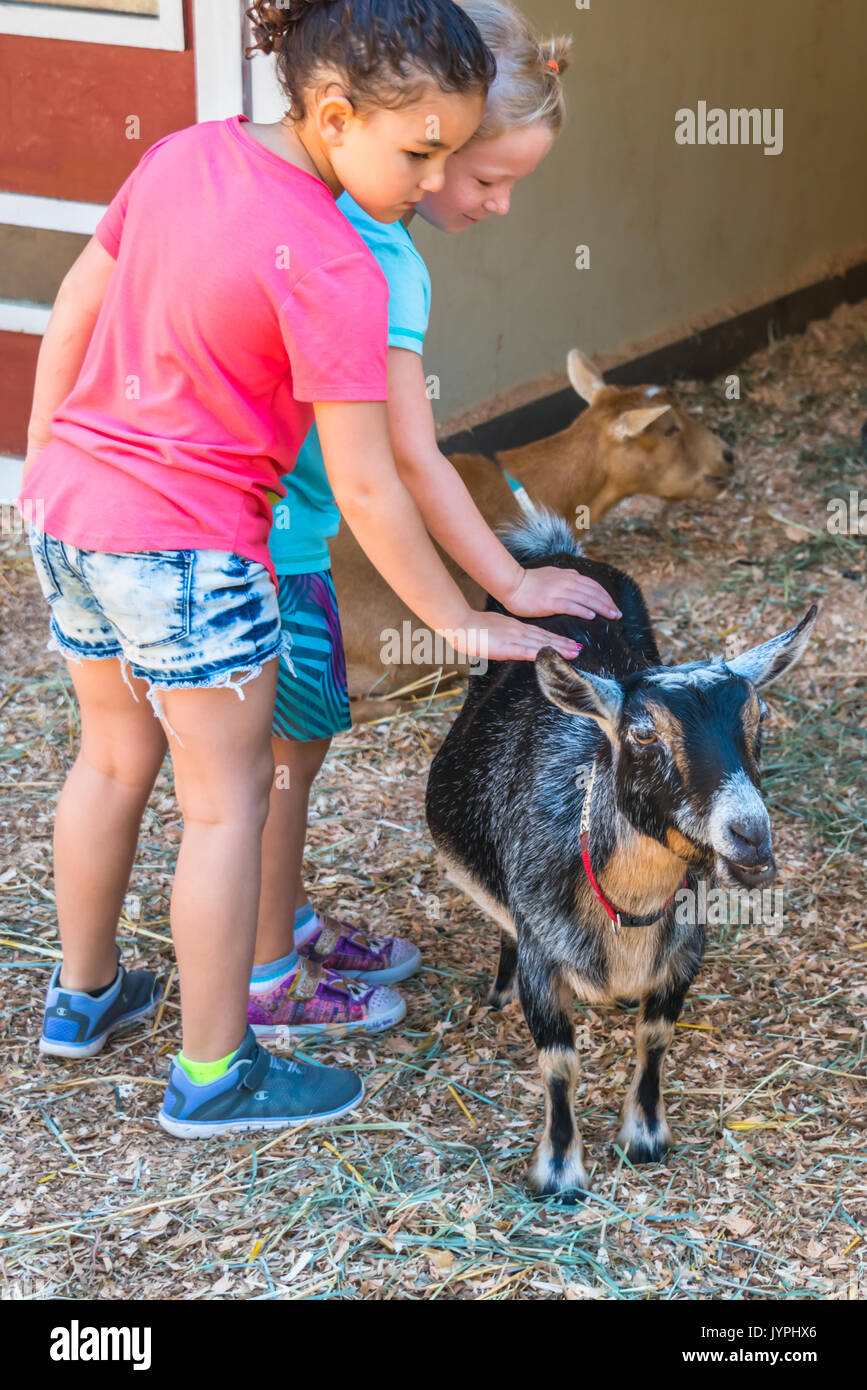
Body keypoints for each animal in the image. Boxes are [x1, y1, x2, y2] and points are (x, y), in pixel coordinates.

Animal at [427, 511, 816, 1195]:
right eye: (642, 732)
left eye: (759, 716)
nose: (751, 836)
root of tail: (560, 553)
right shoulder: (543, 952)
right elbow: (559, 1064)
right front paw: (558, 1170)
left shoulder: (685, 951)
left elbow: (655, 1037)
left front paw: (645, 1136)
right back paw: (499, 991)